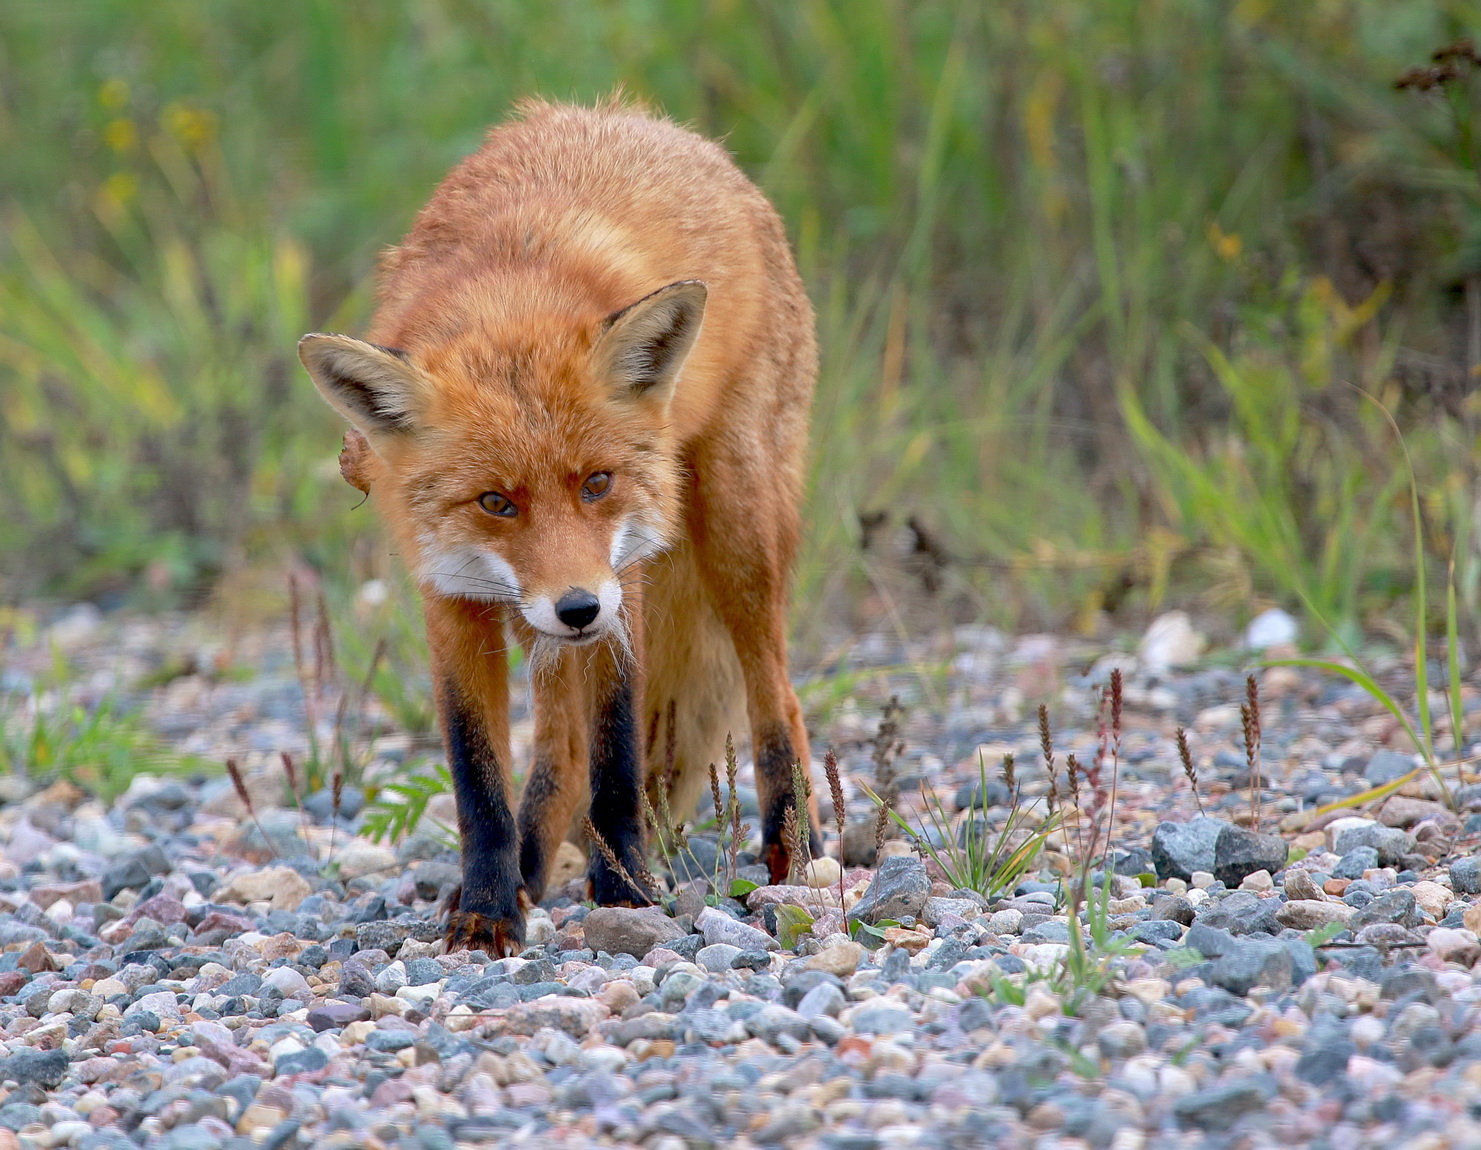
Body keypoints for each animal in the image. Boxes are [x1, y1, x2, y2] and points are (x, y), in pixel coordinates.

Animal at [294, 98, 817, 953]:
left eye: (596, 483)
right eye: (495, 503)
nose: (577, 608)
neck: (507, 300)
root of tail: (653, 123)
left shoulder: (621, 581)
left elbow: (616, 758)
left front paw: (627, 891)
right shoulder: (451, 598)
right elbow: (479, 778)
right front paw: (486, 909)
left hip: (737, 528)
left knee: (776, 695)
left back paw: (793, 848)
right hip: (539, 614)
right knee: (558, 754)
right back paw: (531, 871)